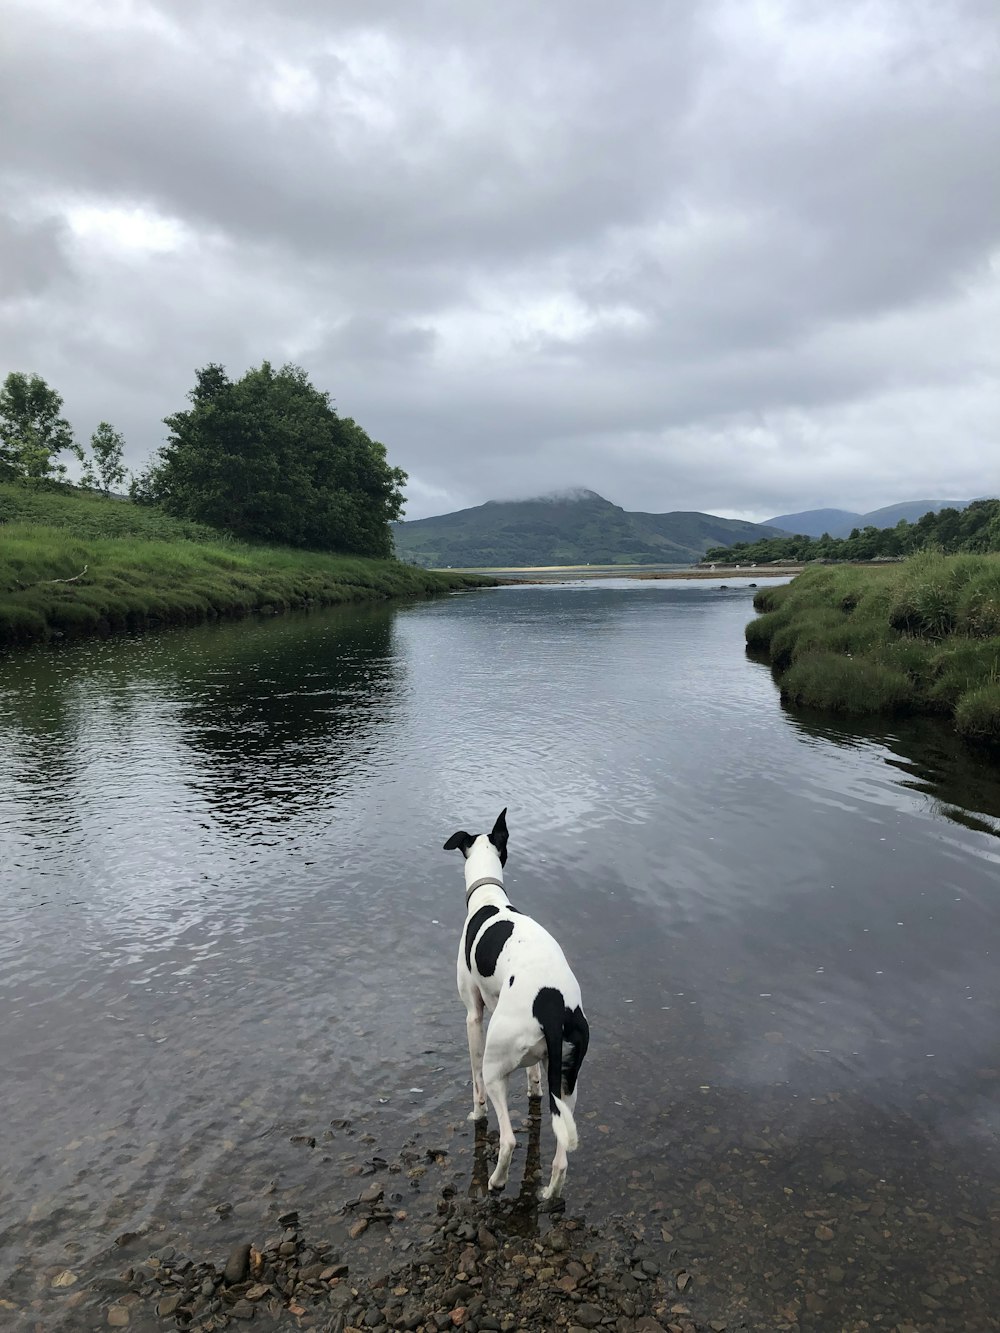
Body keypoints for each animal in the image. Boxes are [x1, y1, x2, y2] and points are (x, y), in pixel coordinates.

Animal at [445, 805, 592, 1205]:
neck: (489, 900)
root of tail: (553, 1007)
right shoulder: (542, 1064)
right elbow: (535, 1082)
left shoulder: (474, 1015)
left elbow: (475, 1080)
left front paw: (475, 1114)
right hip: (568, 1082)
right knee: (561, 1156)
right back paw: (548, 1192)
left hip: (498, 1067)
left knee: (509, 1139)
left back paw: (495, 1182)